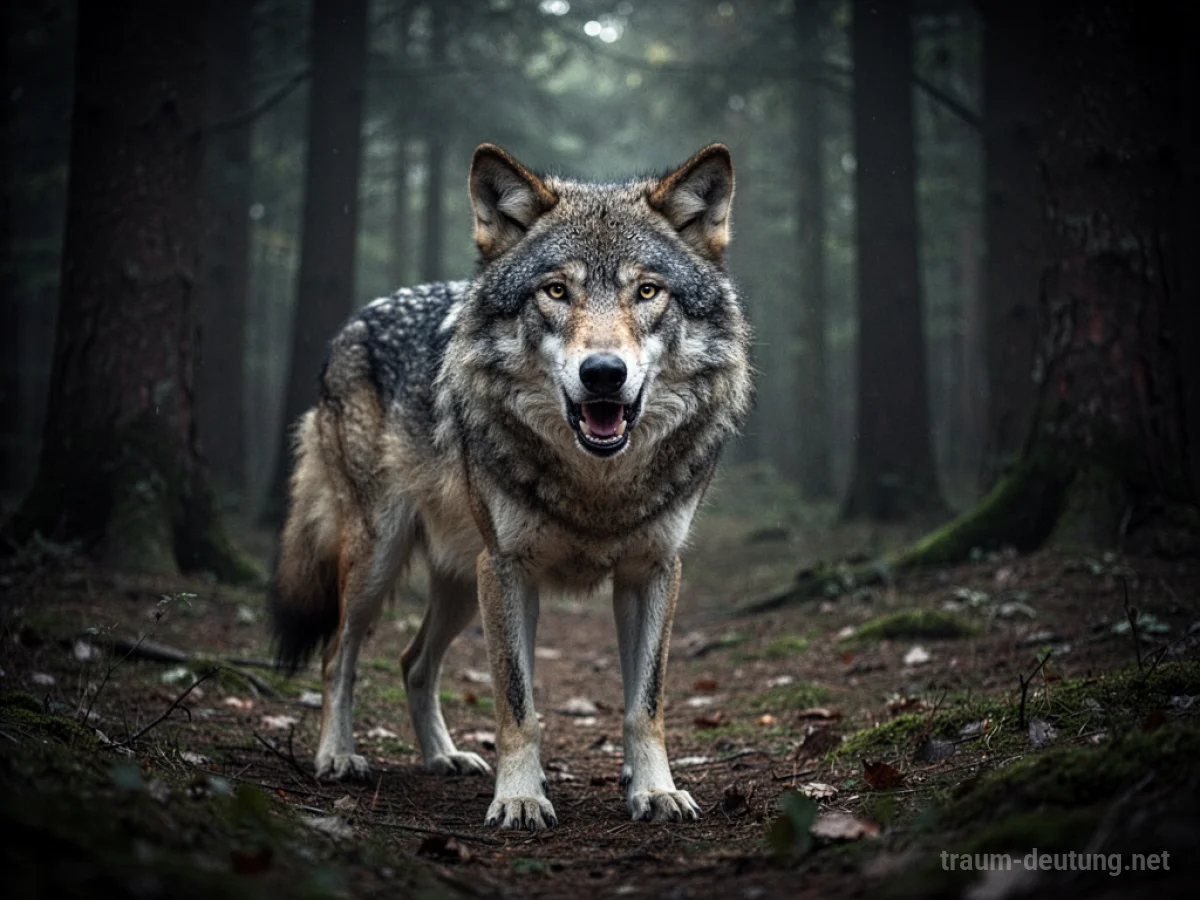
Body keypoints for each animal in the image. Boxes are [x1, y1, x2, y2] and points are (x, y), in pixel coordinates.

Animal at [269, 143, 753, 830]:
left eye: (647, 291)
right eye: (556, 290)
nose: (602, 374)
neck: (597, 486)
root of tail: (352, 325)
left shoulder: (653, 570)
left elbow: (646, 704)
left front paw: (655, 790)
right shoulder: (509, 570)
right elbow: (517, 704)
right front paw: (521, 797)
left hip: (461, 583)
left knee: (413, 663)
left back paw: (444, 758)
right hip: (383, 559)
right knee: (340, 652)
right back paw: (337, 756)